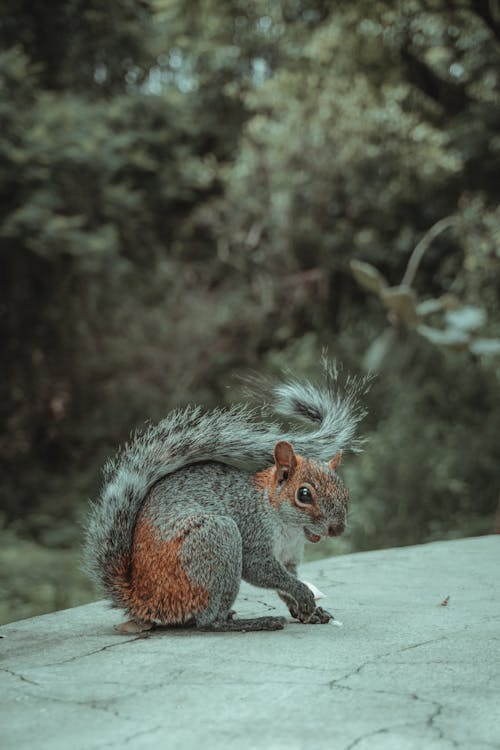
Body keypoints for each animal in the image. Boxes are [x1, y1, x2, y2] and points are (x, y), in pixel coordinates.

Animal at [84, 364, 368, 636]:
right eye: (304, 494)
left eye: (344, 491)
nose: (338, 528)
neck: (288, 526)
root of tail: (143, 599)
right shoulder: (252, 531)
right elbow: (263, 570)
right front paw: (303, 594)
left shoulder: (290, 557)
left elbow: (284, 583)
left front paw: (308, 611)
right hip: (217, 540)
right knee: (209, 621)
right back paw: (256, 622)